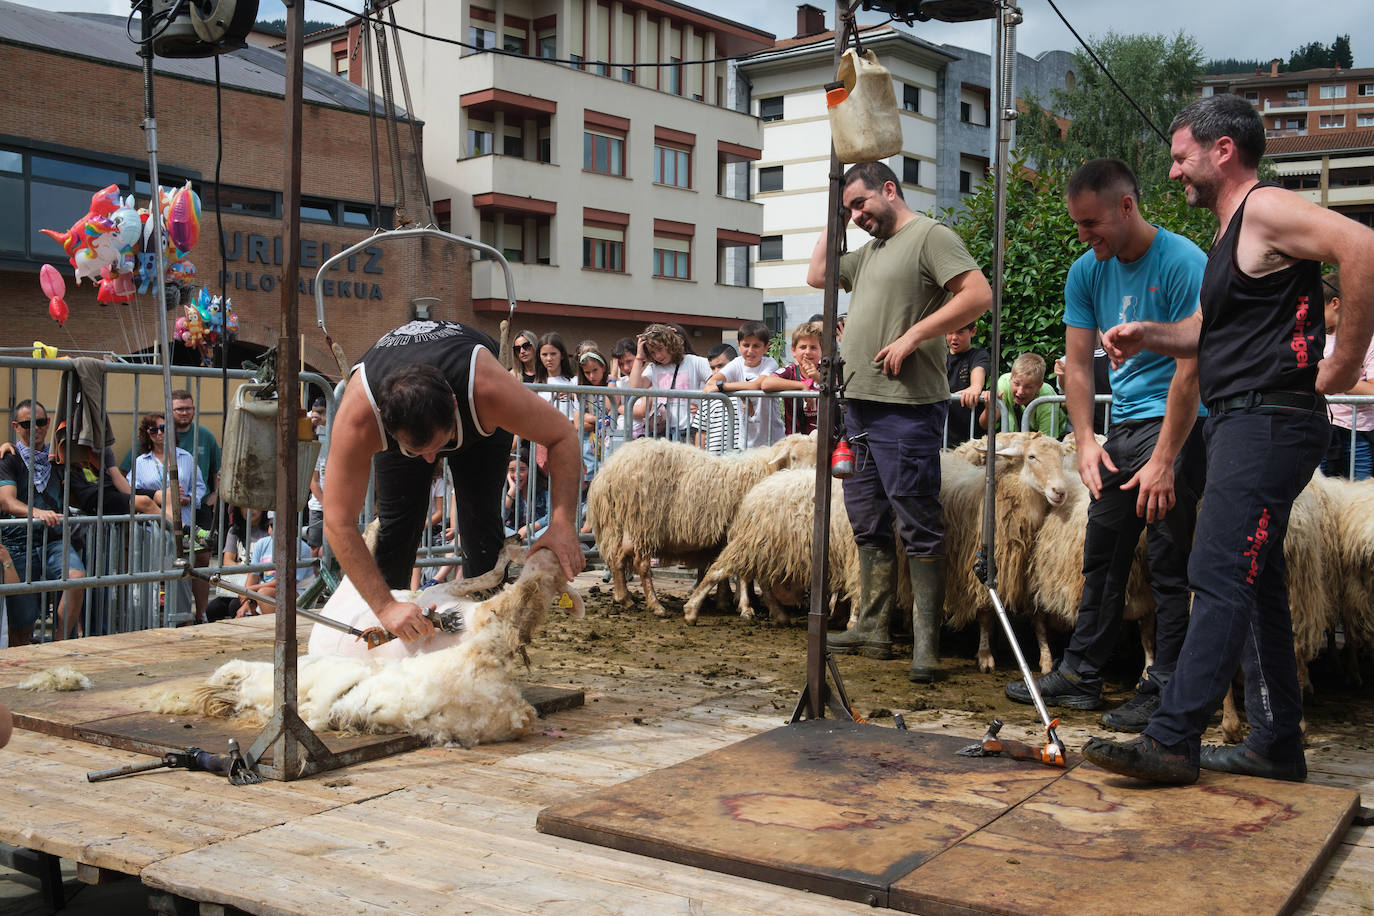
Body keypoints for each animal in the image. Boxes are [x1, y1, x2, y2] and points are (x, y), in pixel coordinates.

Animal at [588, 433, 813, 620]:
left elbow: (722, 566)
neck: (764, 469)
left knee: (616, 558)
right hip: (643, 524)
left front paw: (725, 600)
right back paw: (656, 605)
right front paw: (745, 607)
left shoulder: (730, 536)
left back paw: (624, 598)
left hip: (615, 525)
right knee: (642, 565)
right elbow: (742, 573)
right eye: (793, 457)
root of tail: (609, 469)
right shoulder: (743, 532)